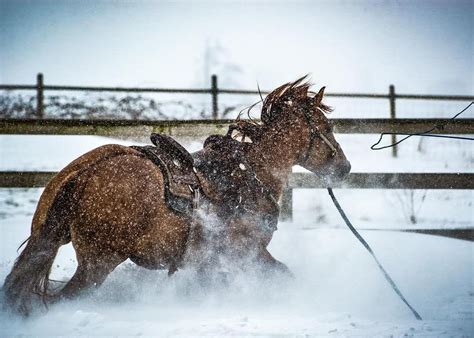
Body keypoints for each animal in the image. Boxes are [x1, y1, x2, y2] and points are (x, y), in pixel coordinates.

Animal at [1, 76, 350, 314]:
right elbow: (284, 276)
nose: (344, 168)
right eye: (326, 127)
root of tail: (87, 170)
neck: (250, 173)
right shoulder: (248, 253)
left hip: (49, 238)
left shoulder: (210, 265)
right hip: (98, 262)